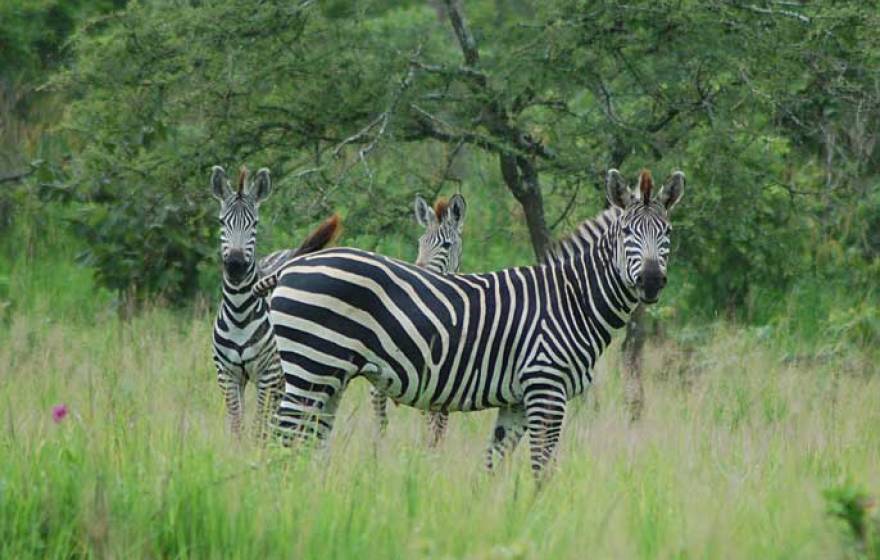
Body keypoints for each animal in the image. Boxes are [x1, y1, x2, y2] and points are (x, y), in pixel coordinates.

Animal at [211, 165, 341, 438]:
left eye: (255, 224)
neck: (239, 313)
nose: (236, 266)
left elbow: (259, 426)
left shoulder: (268, 375)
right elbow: (237, 425)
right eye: (221, 222)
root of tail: (290, 254)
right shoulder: (227, 375)